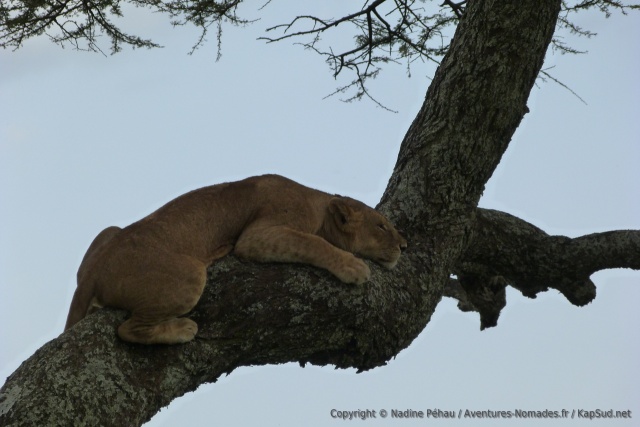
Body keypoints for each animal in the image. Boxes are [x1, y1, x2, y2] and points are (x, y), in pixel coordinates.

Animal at [64, 174, 407, 345]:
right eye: (381, 225)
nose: (404, 245)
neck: (319, 204)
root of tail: (93, 273)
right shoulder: (257, 235)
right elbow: (312, 242)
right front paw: (353, 267)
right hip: (189, 272)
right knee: (127, 329)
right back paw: (183, 329)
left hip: (108, 232)